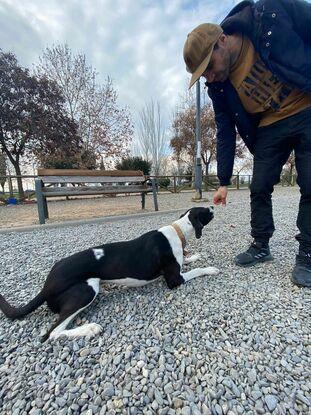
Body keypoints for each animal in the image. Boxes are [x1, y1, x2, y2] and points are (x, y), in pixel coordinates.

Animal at [0, 207, 219, 342]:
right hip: (87, 289)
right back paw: (89, 328)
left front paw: (194, 256)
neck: (177, 230)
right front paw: (210, 269)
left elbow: (187, 261)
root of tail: (46, 286)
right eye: (205, 211)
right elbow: (195, 270)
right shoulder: (175, 280)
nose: (213, 206)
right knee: (52, 333)